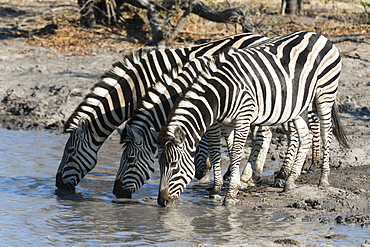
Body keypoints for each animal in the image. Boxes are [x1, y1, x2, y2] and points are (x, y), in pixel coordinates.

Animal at [54, 32, 272, 191]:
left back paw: (251, 175)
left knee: (263, 134)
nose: (58, 185)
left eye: (70, 151)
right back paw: (252, 174)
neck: (137, 86)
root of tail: (262, 36)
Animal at [158, 30, 348, 206]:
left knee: (326, 132)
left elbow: (235, 153)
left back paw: (323, 178)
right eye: (160, 164)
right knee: (305, 136)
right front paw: (229, 186)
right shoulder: (226, 123)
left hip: (325, 93)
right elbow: (225, 152)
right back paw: (290, 181)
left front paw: (230, 194)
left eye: (174, 164)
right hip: (299, 104)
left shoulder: (243, 117)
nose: (161, 201)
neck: (220, 94)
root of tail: (318, 35)